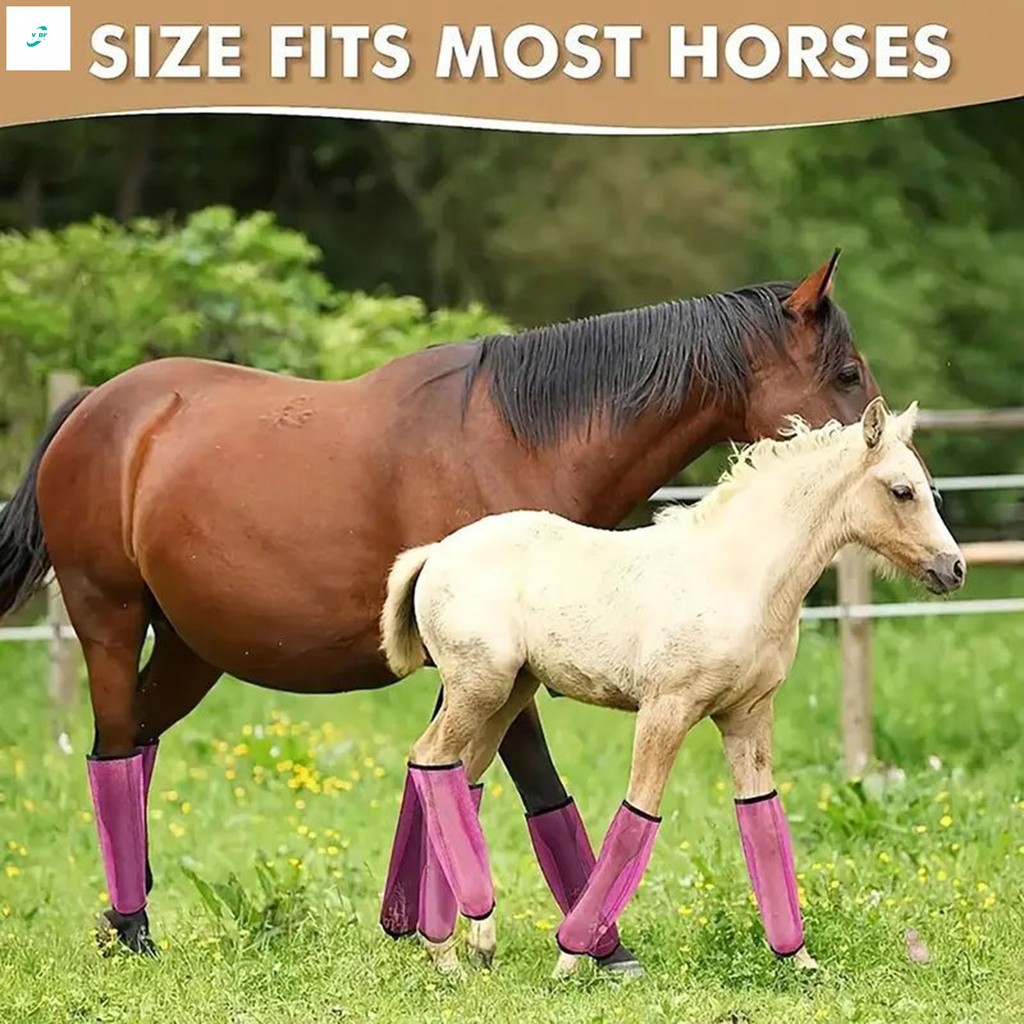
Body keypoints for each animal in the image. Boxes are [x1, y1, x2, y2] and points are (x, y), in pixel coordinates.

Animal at [0, 251, 883, 966]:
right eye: (847, 373)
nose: (891, 458)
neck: (518, 442)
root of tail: (95, 408)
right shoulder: (503, 664)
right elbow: (534, 786)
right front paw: (598, 946)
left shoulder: (484, 667)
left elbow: (456, 780)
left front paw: (417, 925)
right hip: (110, 621)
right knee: (114, 751)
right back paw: (134, 927)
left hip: (193, 649)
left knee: (136, 742)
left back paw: (123, 916)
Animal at [379, 397, 964, 977]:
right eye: (902, 490)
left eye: (928, 487)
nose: (954, 568)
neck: (737, 576)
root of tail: (435, 552)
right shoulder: (667, 709)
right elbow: (639, 814)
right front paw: (572, 954)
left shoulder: (749, 715)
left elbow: (762, 817)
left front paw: (799, 959)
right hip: (479, 687)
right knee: (429, 758)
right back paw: (448, 948)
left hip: (508, 696)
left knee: (460, 774)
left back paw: (465, 941)